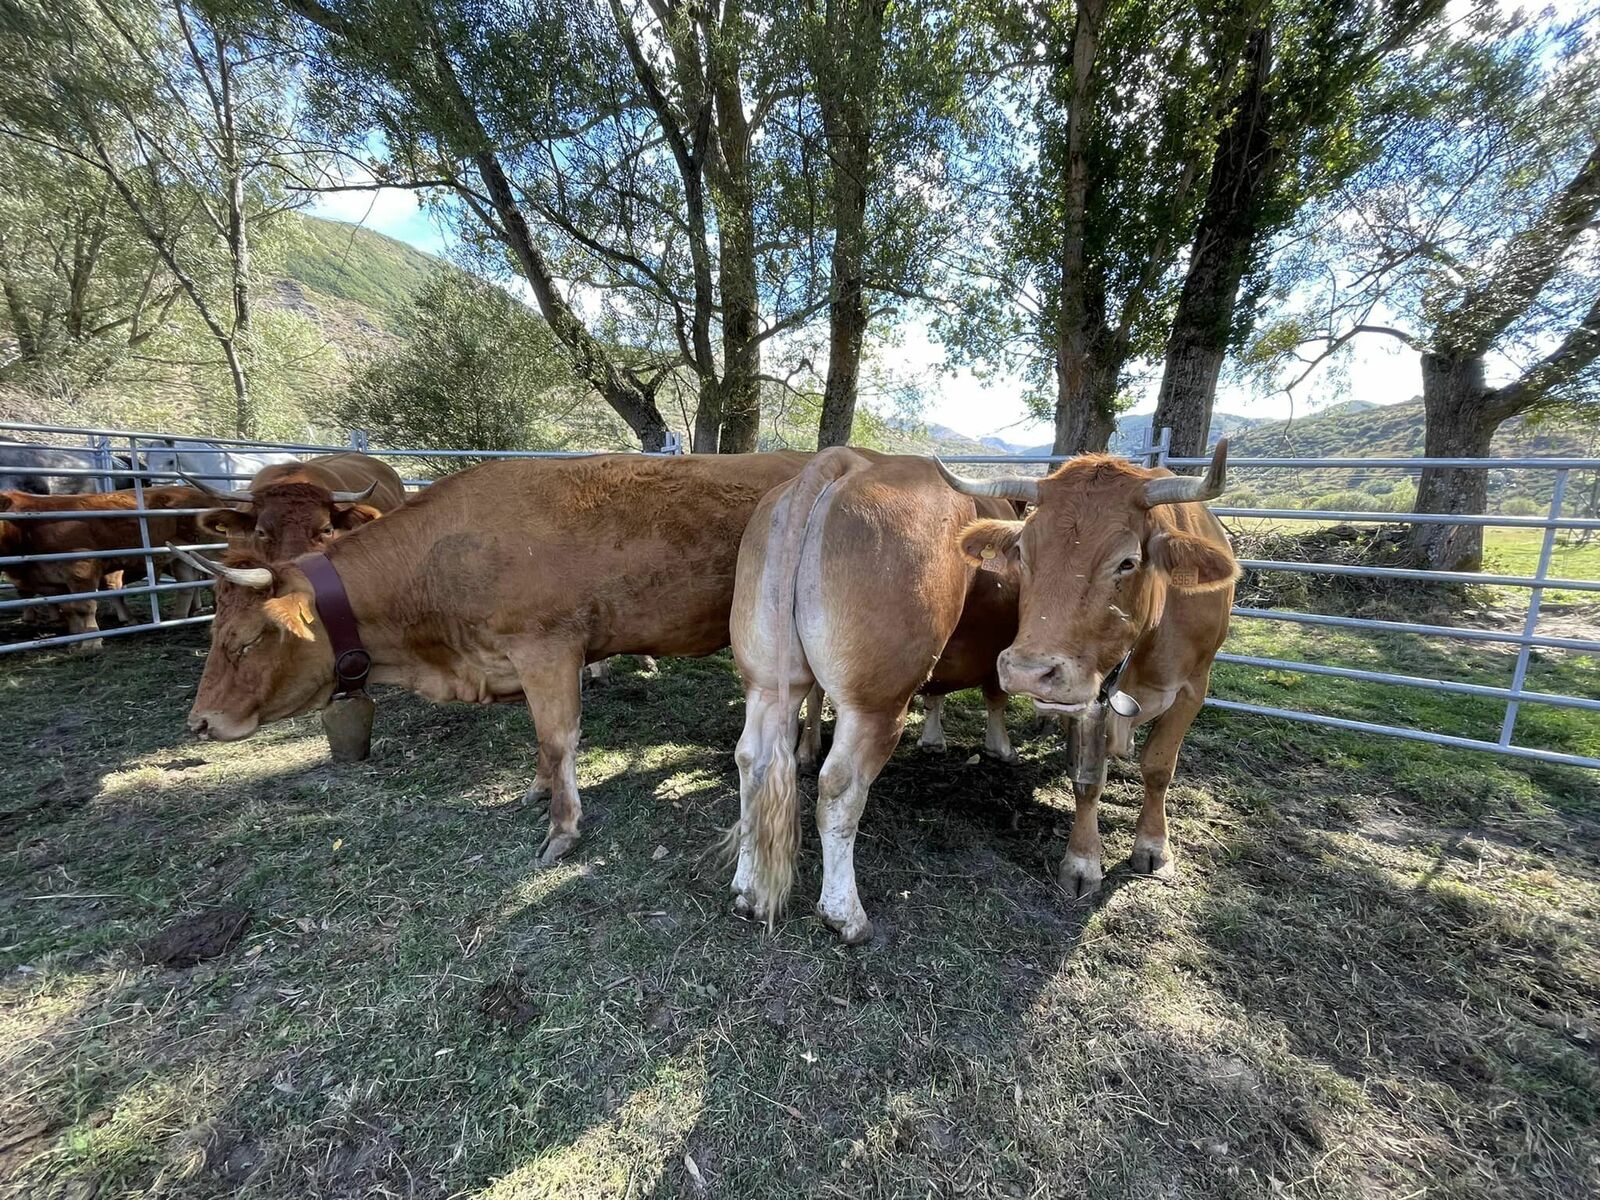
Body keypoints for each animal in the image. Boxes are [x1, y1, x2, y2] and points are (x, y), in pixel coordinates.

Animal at [1, 489, 214, 652]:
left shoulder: (81, 567)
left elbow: (84, 606)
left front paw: (91, 643)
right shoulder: (55, 581)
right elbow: (69, 610)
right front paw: (75, 642)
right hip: (181, 555)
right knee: (187, 584)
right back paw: (178, 618)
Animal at [729, 448, 1235, 947]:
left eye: (1128, 561)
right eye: (1023, 554)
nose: (1031, 670)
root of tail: (840, 461)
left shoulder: (1183, 685)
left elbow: (1148, 768)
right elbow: (1106, 774)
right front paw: (1099, 858)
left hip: (768, 683)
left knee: (753, 760)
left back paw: (747, 890)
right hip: (874, 703)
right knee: (839, 787)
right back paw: (844, 913)